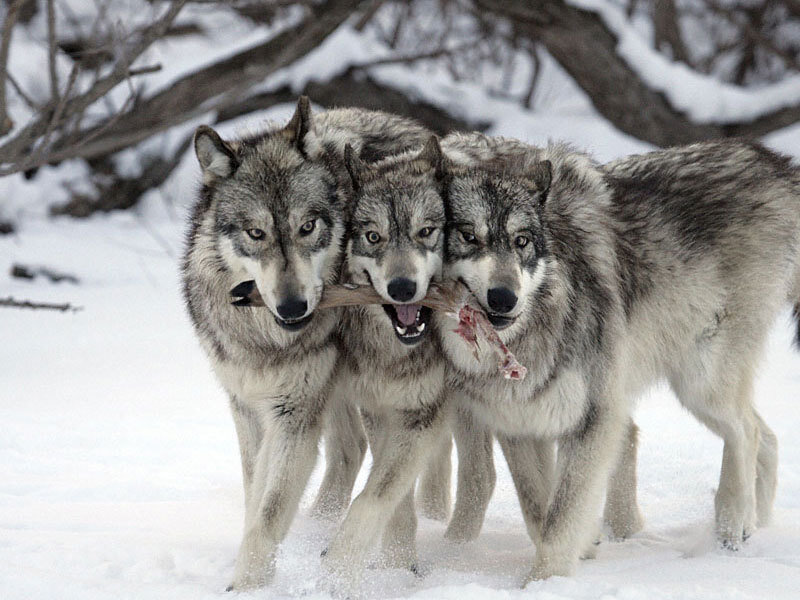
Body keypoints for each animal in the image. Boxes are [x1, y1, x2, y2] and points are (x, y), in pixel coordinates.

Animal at [181, 97, 432, 590]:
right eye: (256, 233)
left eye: (308, 226)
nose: (294, 306)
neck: (269, 342)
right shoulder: (248, 405)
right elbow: (255, 495)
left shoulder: (295, 413)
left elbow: (269, 512)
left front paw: (247, 588)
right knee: (351, 452)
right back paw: (321, 526)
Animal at [319, 137, 453, 589]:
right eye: (373, 237)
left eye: (426, 232)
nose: (402, 287)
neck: (400, 354)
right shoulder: (381, 409)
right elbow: (392, 497)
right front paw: (399, 564)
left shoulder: (422, 415)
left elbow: (371, 498)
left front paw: (336, 571)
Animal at [433, 133, 796, 582]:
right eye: (468, 236)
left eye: (522, 241)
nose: (504, 297)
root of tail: (773, 162)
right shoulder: (517, 422)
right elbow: (539, 506)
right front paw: (581, 548)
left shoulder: (595, 417)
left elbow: (560, 518)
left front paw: (543, 583)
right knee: (767, 435)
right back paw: (755, 524)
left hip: (700, 382)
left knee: (746, 430)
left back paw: (731, 527)